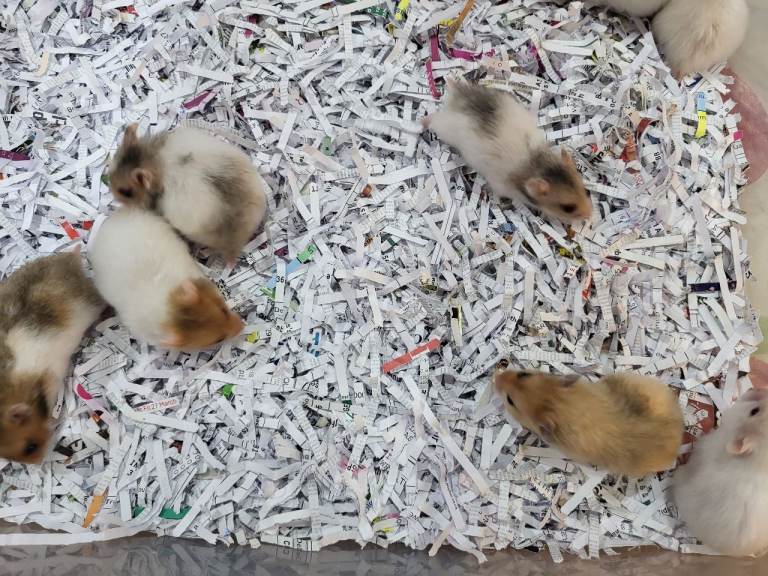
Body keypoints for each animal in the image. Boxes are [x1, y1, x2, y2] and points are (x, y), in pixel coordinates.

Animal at [425, 82, 592, 222]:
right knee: (433, 119)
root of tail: (457, 96)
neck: (537, 165)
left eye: (585, 190)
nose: (589, 216)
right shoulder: (500, 187)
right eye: (568, 208)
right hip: (444, 129)